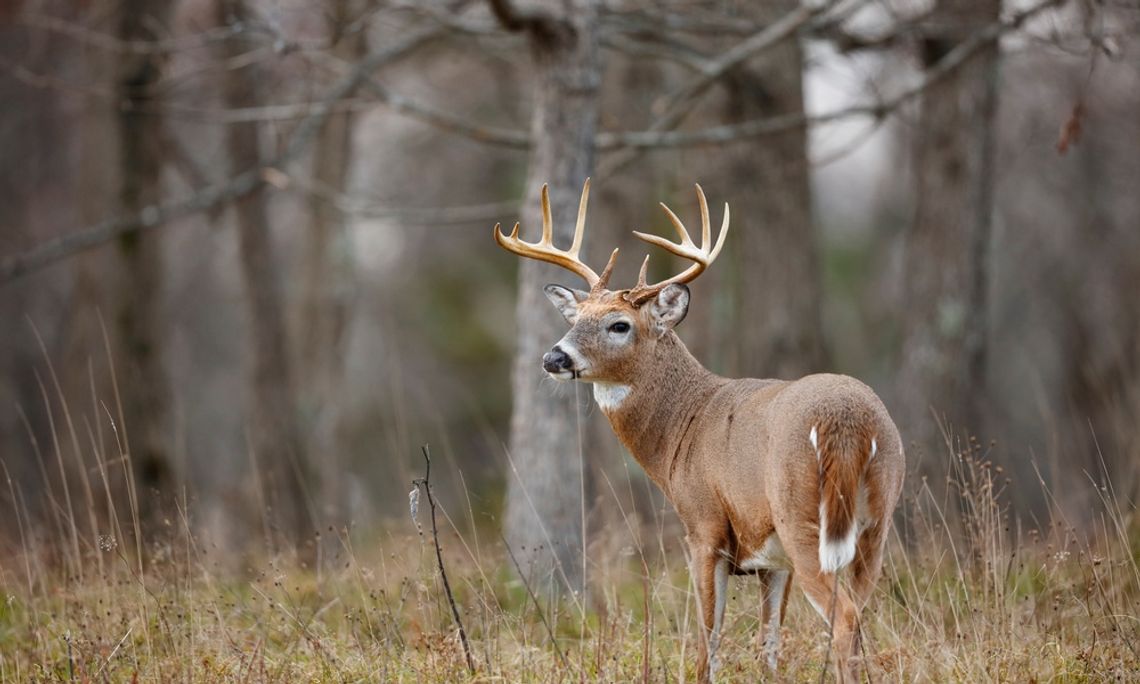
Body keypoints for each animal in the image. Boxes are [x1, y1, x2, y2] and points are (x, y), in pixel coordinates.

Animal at [494, 179, 905, 683]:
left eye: (619, 324)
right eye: (576, 319)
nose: (554, 357)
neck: (683, 428)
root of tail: (847, 421)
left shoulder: (704, 524)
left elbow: (708, 638)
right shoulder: (770, 558)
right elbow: (769, 644)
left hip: (802, 516)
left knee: (845, 617)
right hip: (876, 520)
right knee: (860, 611)